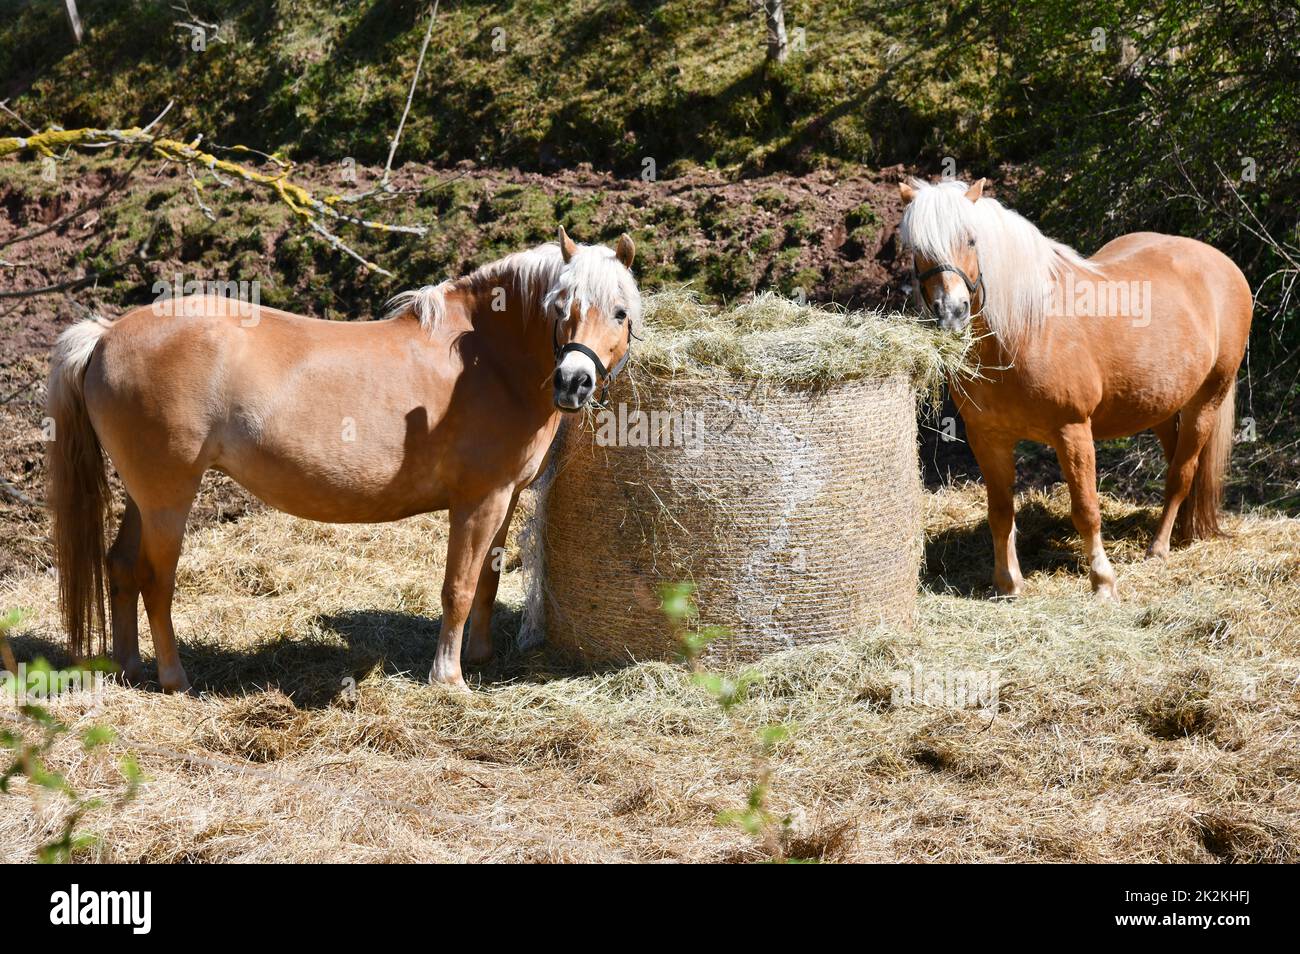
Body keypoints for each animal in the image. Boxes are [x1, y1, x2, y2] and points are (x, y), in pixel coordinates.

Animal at [46, 227, 640, 692]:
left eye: (619, 312)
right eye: (561, 307)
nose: (573, 383)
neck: (489, 361)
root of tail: (106, 335)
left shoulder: (505, 497)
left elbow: (487, 582)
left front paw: (479, 658)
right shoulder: (478, 500)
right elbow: (459, 586)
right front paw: (448, 679)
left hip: (144, 495)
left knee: (121, 567)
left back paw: (130, 668)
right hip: (169, 497)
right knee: (155, 580)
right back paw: (174, 679)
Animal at [898, 178, 1252, 598]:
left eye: (970, 240)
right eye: (916, 249)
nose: (952, 311)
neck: (1025, 329)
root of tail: (1222, 263)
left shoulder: (1073, 432)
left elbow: (1085, 509)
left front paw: (1103, 581)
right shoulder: (987, 436)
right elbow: (1000, 511)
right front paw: (1008, 583)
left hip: (1208, 398)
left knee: (1182, 473)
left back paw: (1159, 547)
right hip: (1163, 405)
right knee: (1178, 466)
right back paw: (1183, 533)